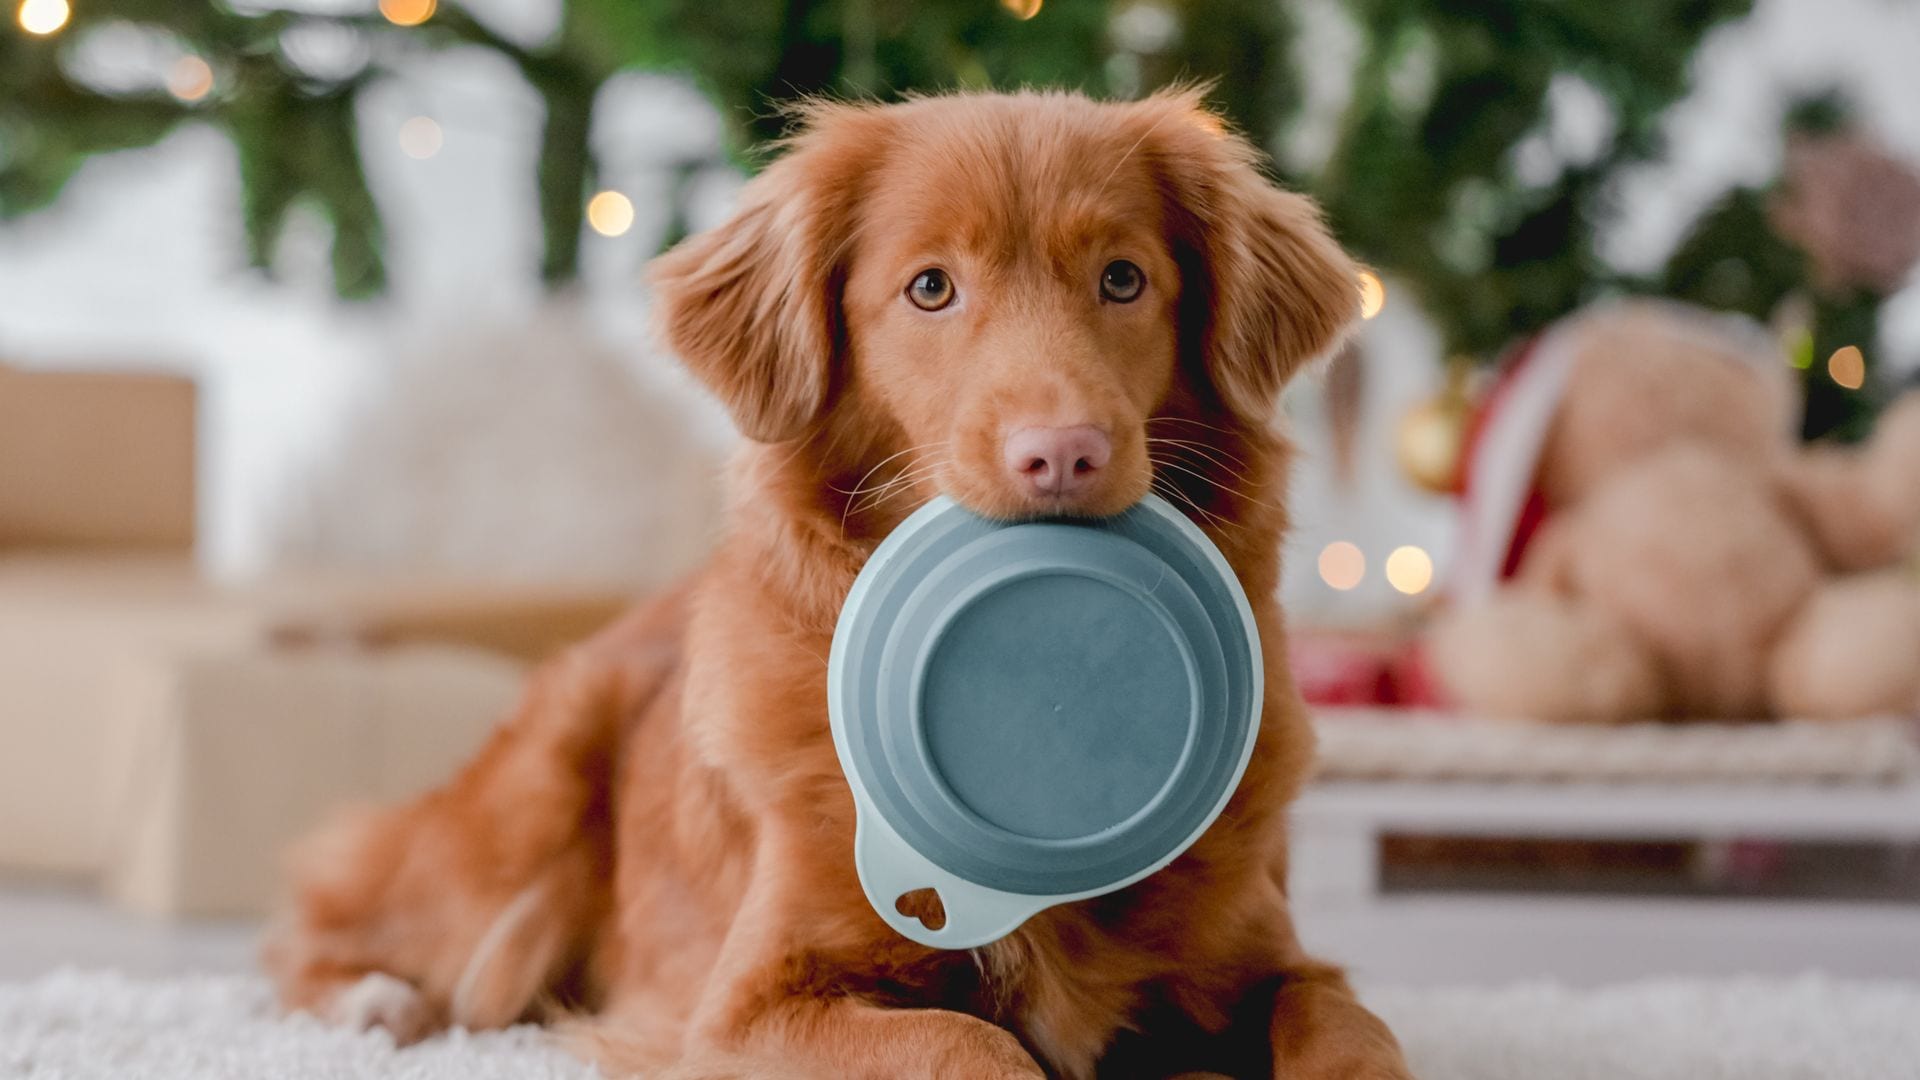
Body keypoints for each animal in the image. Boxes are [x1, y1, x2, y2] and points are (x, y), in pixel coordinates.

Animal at [266, 90, 1413, 1076]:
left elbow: (1351, 1026)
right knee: (323, 912)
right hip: (528, 803)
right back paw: (375, 1003)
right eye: (931, 287)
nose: (1064, 454)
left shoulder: (1275, 961)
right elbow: (966, 1042)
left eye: (1124, 280)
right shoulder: (747, 1011)